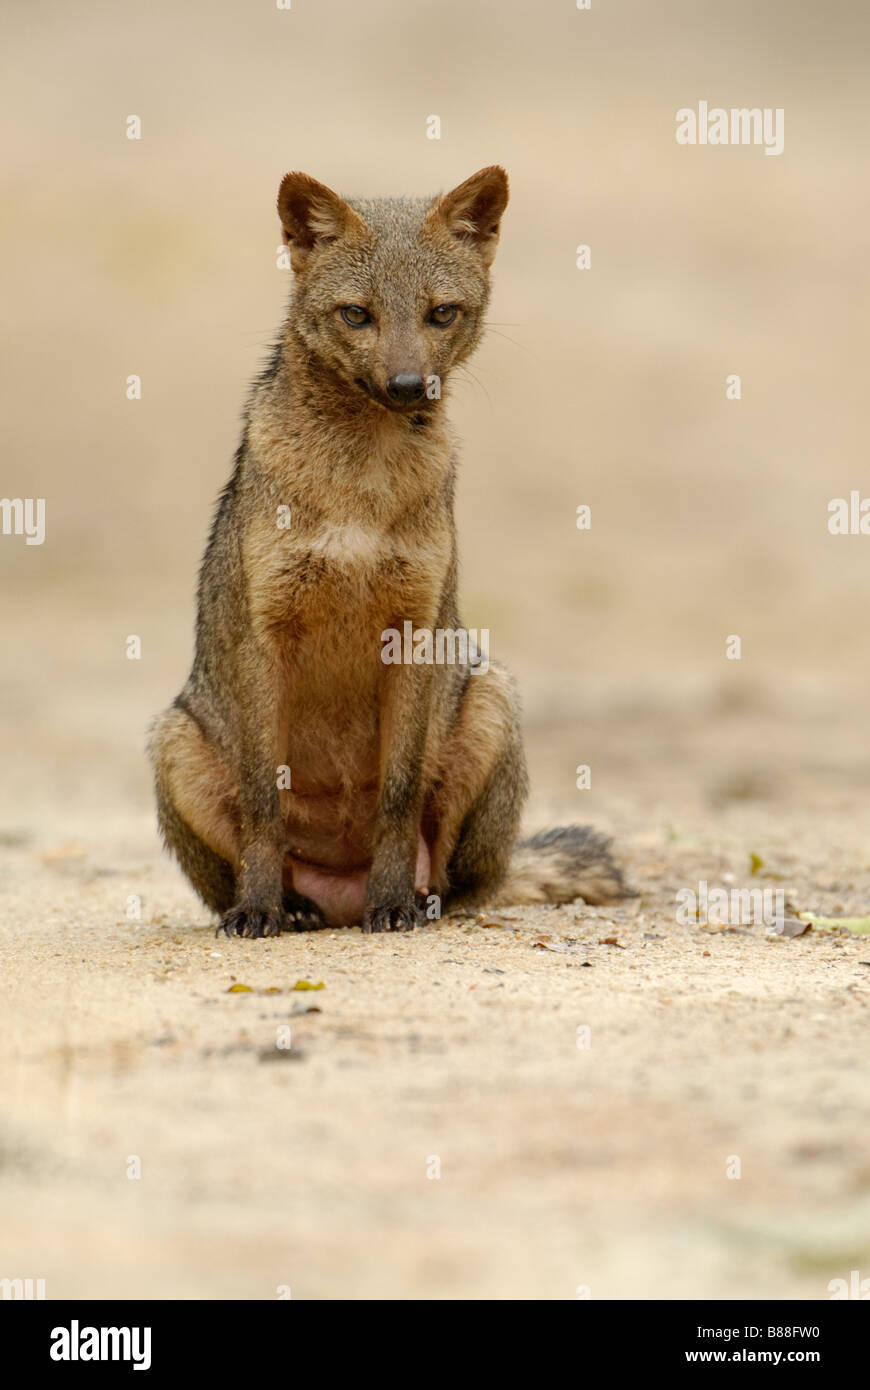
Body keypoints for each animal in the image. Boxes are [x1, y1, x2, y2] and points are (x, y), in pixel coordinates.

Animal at [148, 165, 627, 938]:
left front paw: (394, 902)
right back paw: (291, 908)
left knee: (461, 886)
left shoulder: (413, 632)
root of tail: (341, 891)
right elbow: (263, 804)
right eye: (357, 315)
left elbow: (398, 798)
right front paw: (257, 909)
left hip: (492, 699)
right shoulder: (264, 637)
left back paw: (408, 900)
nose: (407, 386)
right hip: (172, 743)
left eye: (441, 313)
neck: (360, 488)